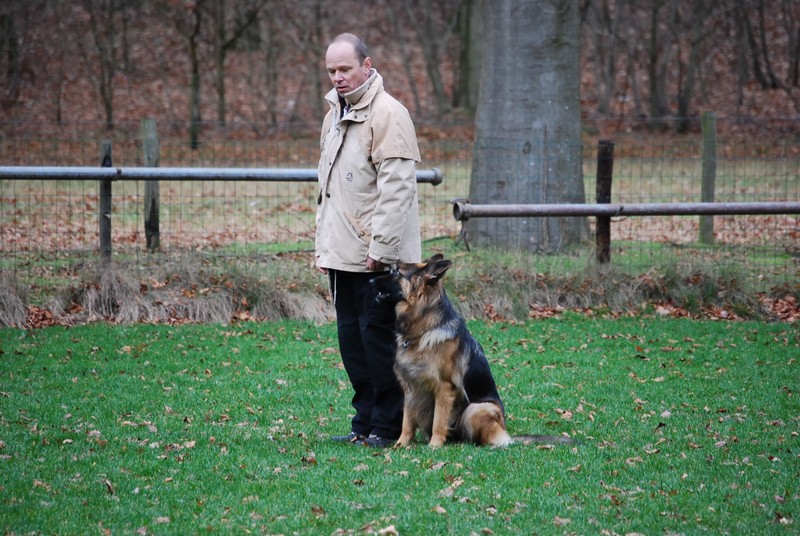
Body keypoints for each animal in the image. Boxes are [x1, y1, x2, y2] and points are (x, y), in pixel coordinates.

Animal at [373, 254, 574, 448]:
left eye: (395, 271)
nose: (371, 280)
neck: (424, 330)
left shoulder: (445, 388)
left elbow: (438, 422)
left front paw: (434, 446)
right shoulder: (410, 389)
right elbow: (406, 422)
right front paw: (400, 445)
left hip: (477, 409)